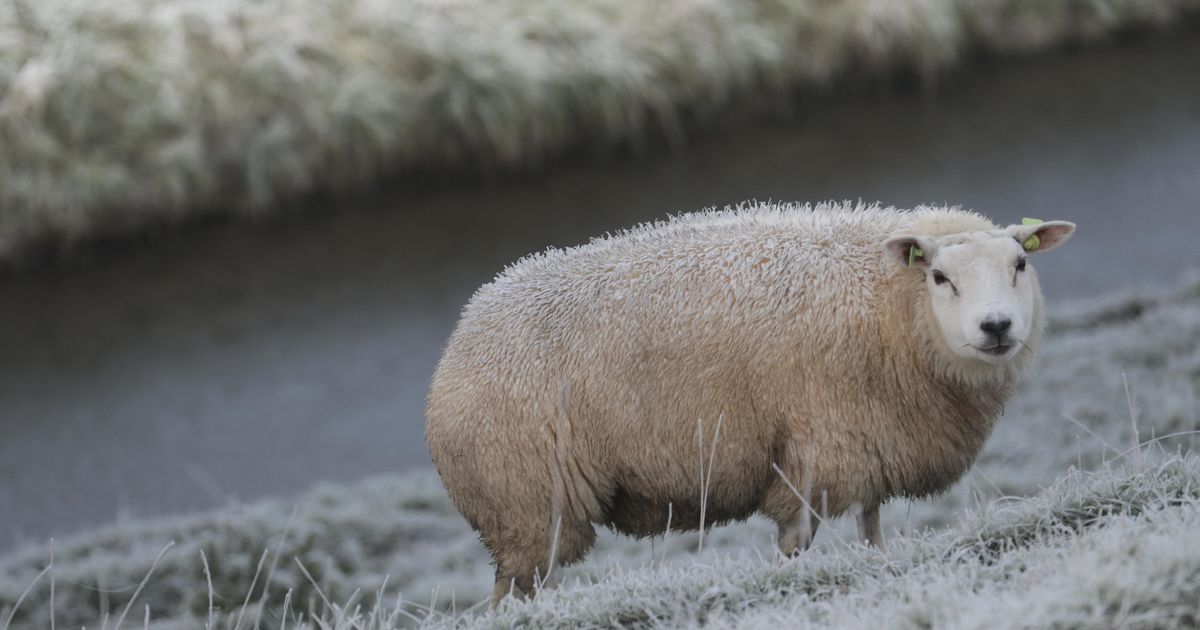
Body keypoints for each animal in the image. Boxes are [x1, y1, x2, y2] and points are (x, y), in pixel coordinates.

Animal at [424, 201, 1080, 604]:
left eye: (1021, 263)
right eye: (940, 277)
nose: (996, 327)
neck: (892, 307)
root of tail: (461, 335)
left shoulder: (867, 442)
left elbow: (871, 525)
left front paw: (878, 563)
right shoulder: (816, 450)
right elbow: (796, 544)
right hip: (527, 503)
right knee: (512, 594)